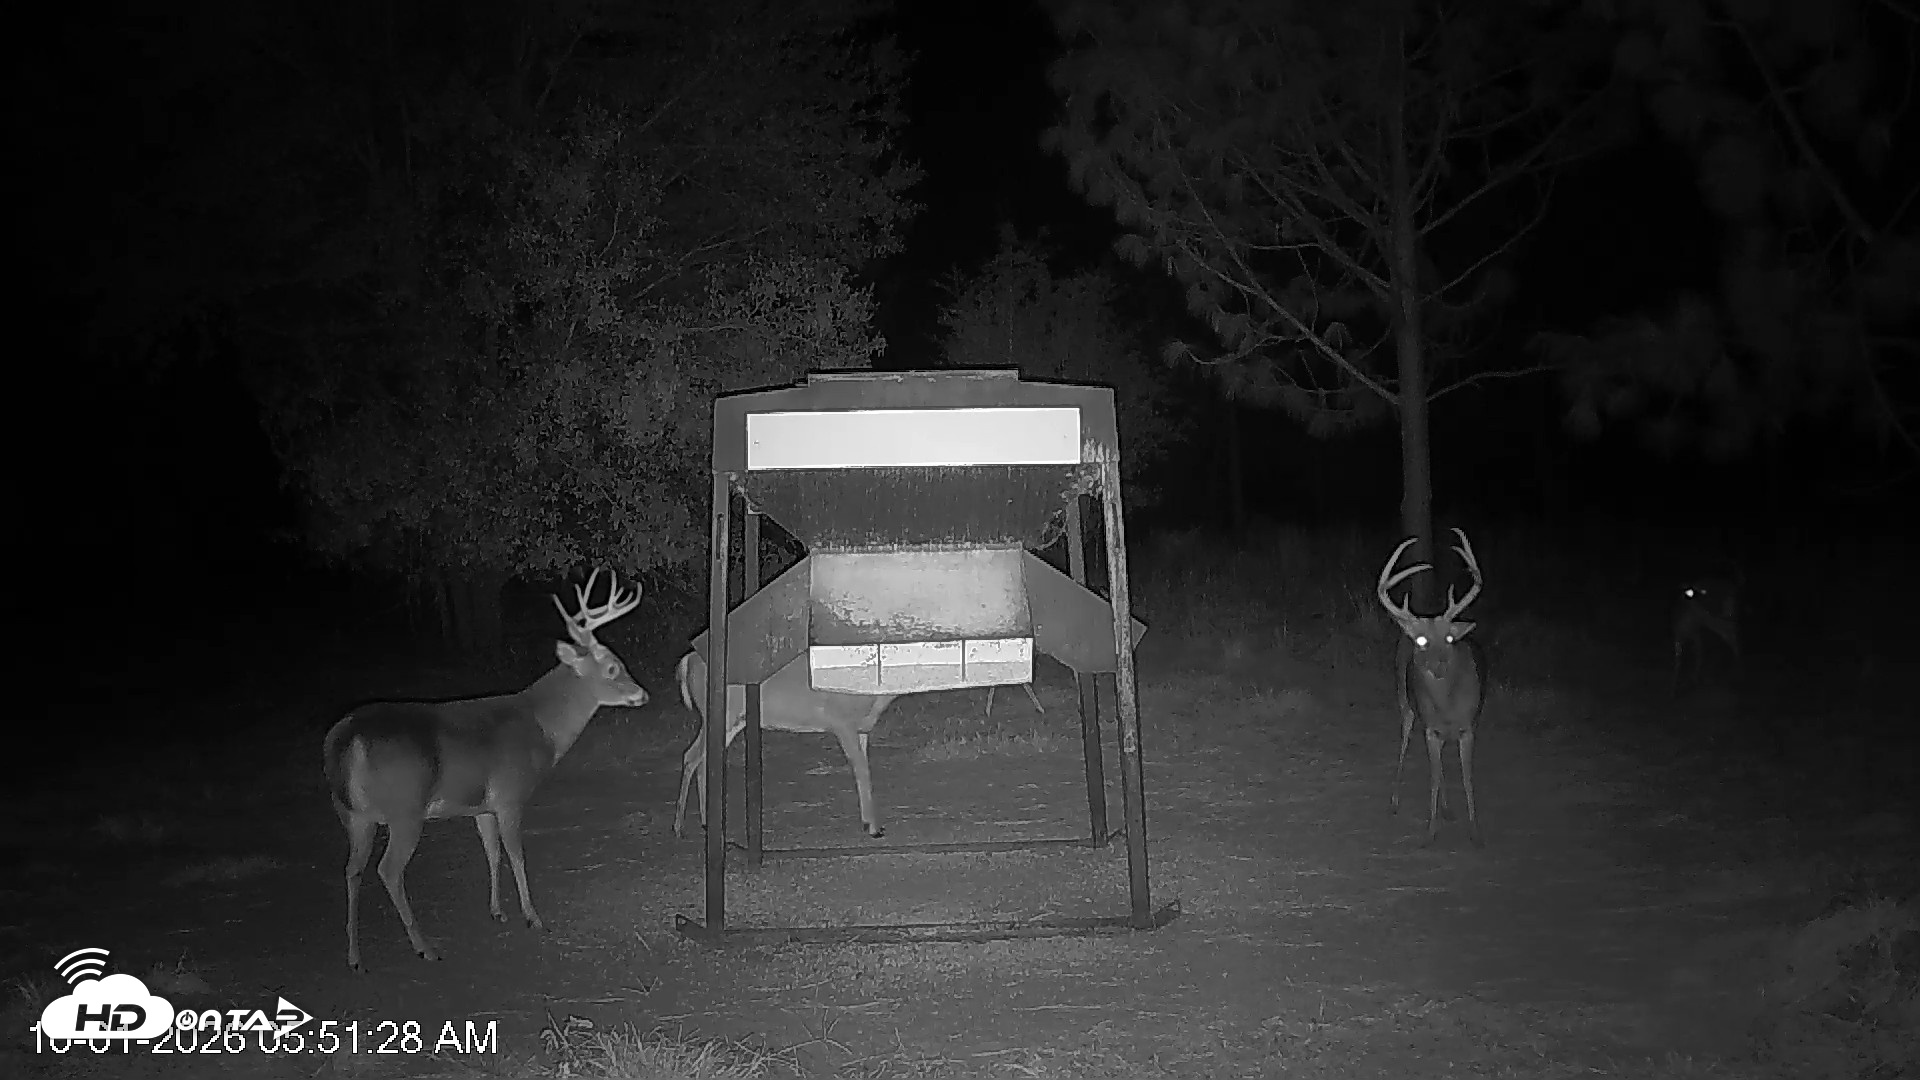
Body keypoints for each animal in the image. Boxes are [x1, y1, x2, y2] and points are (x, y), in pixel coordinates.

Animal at [322, 569, 647, 971]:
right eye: (613, 666)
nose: (642, 694)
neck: (541, 727)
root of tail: (347, 736)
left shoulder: (482, 806)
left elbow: (492, 852)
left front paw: (497, 911)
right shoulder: (511, 794)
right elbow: (517, 855)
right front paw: (533, 917)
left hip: (351, 814)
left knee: (352, 870)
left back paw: (354, 956)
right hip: (405, 809)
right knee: (389, 870)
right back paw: (424, 946)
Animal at [674, 651, 897, 840]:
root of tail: (687, 660)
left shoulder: (861, 729)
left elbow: (864, 768)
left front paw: (868, 823)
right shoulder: (842, 722)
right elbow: (862, 770)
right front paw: (874, 828)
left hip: (731, 721)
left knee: (701, 760)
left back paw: (705, 823)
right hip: (722, 715)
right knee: (690, 756)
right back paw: (679, 828)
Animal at [1376, 529, 1486, 848]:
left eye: (1450, 638)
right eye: (1422, 641)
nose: (1439, 664)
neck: (1447, 707)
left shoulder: (1468, 726)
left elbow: (1466, 777)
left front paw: (1475, 832)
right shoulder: (1430, 729)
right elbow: (1435, 777)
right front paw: (1430, 832)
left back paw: (1449, 809)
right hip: (1405, 703)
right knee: (1404, 742)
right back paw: (1395, 801)